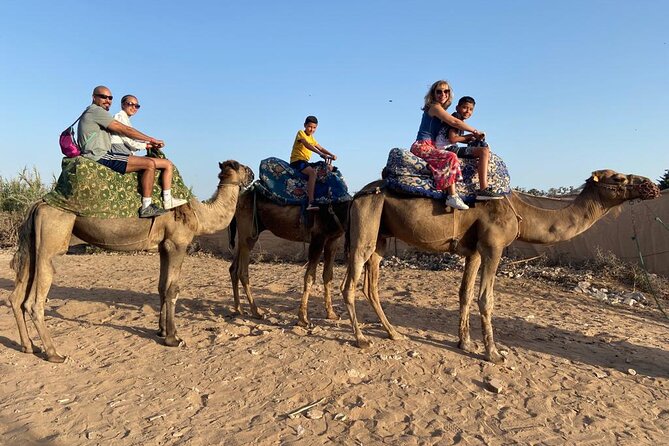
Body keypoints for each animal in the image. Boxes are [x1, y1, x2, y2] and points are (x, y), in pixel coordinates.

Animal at [9, 160, 253, 363]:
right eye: (241, 166)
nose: (252, 174)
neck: (199, 214)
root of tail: (38, 204)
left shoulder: (163, 246)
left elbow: (162, 287)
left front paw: (161, 331)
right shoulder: (177, 243)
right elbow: (173, 289)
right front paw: (174, 338)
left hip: (33, 244)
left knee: (17, 296)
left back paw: (29, 346)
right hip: (52, 238)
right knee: (34, 300)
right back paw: (54, 353)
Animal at [229, 189, 349, 326]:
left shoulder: (332, 240)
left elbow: (328, 276)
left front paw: (332, 314)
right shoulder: (318, 238)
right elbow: (310, 277)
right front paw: (303, 319)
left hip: (247, 233)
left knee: (233, 269)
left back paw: (239, 309)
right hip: (248, 227)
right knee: (242, 271)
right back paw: (256, 311)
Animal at [341, 169, 660, 363]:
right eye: (619, 178)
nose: (651, 186)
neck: (521, 213)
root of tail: (356, 196)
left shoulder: (474, 251)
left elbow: (465, 294)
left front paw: (466, 344)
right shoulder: (493, 247)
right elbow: (486, 298)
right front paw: (493, 353)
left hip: (381, 235)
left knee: (370, 283)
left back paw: (394, 333)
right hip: (366, 223)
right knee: (350, 282)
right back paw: (361, 339)